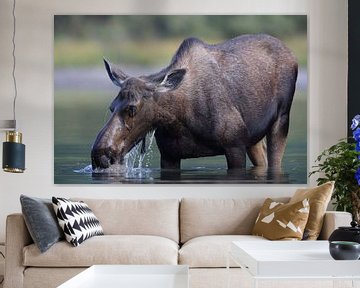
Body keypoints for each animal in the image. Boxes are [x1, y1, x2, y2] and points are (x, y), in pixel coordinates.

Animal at [90, 34, 298, 171]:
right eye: (111, 107)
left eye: (132, 108)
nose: (100, 155)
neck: (179, 118)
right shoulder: (169, 155)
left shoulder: (235, 145)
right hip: (253, 139)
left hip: (281, 118)